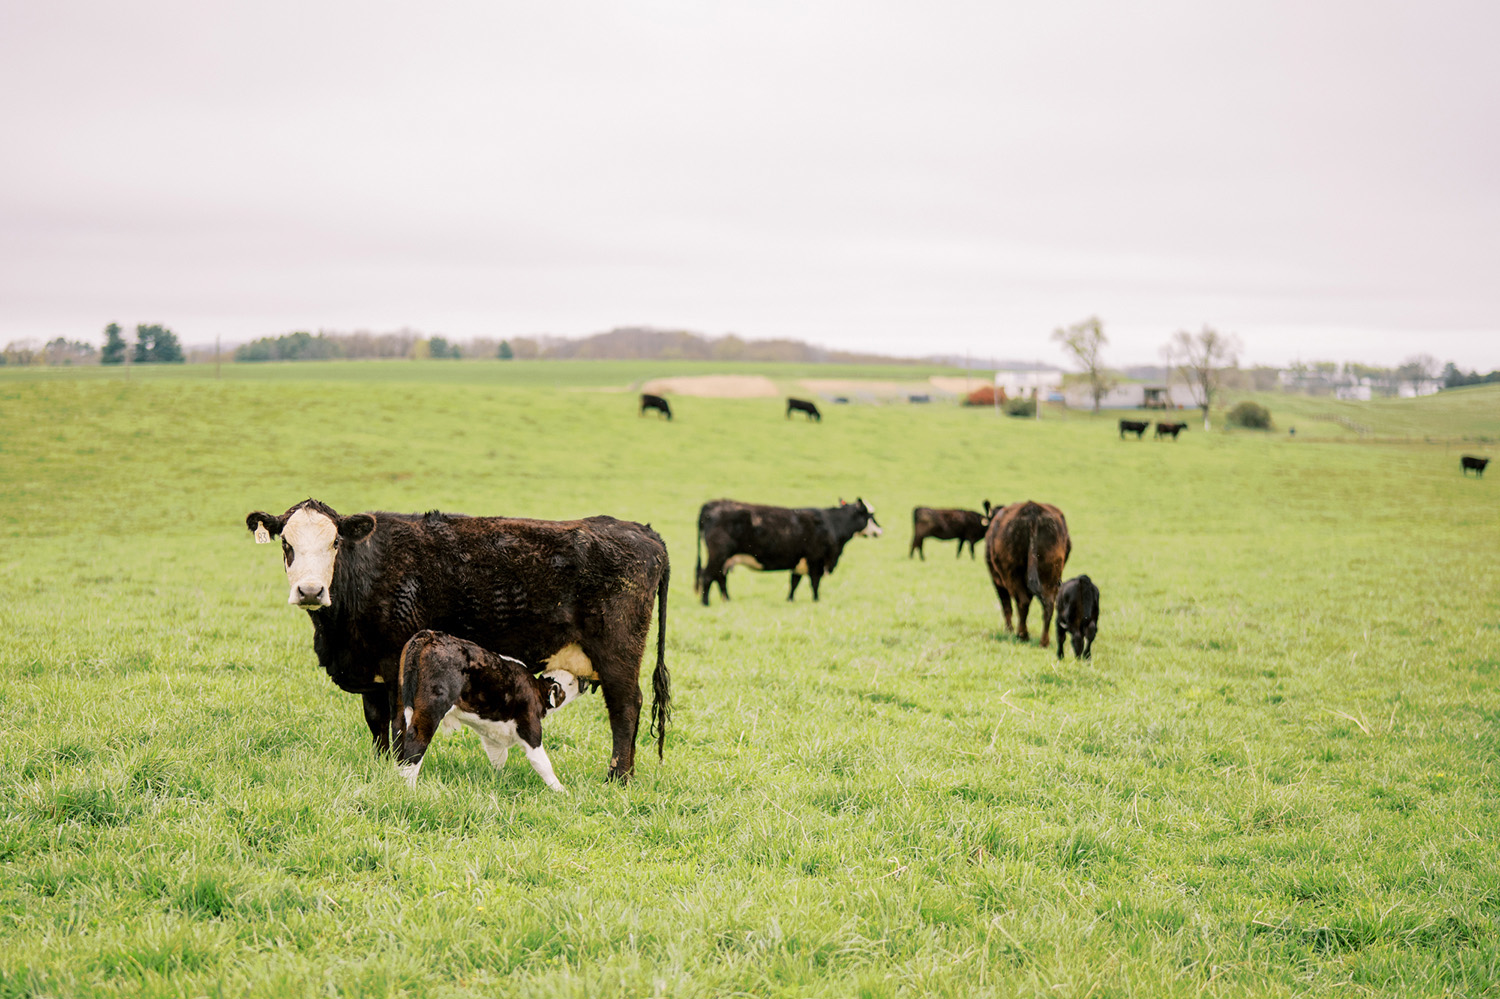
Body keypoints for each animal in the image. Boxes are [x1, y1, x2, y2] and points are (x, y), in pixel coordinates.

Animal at [393, 630, 585, 786]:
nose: (583, 679)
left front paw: (498, 781)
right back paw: (409, 788)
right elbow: (542, 762)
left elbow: (498, 758)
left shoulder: (493, 732)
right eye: (570, 682)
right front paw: (562, 791)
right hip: (431, 706)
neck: (535, 689)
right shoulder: (530, 724)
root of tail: (430, 634)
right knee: (417, 740)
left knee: (398, 732)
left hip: (402, 702)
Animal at [696, 495, 882, 603]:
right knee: (708, 576)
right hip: (719, 554)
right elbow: (814, 584)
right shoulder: (816, 560)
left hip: (725, 558)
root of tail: (711, 504)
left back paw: (727, 600)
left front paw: (790, 600)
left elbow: (794, 583)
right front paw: (816, 600)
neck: (832, 524)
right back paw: (706, 603)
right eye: (870, 515)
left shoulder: (799, 561)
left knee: (720, 578)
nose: (880, 530)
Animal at [984, 498, 1068, 645]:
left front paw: (1009, 630)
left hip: (1012, 573)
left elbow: (1006, 606)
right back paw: (1044, 641)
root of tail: (1032, 511)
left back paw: (1022, 635)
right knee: (1048, 603)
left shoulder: (997, 581)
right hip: (1051, 572)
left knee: (1022, 602)